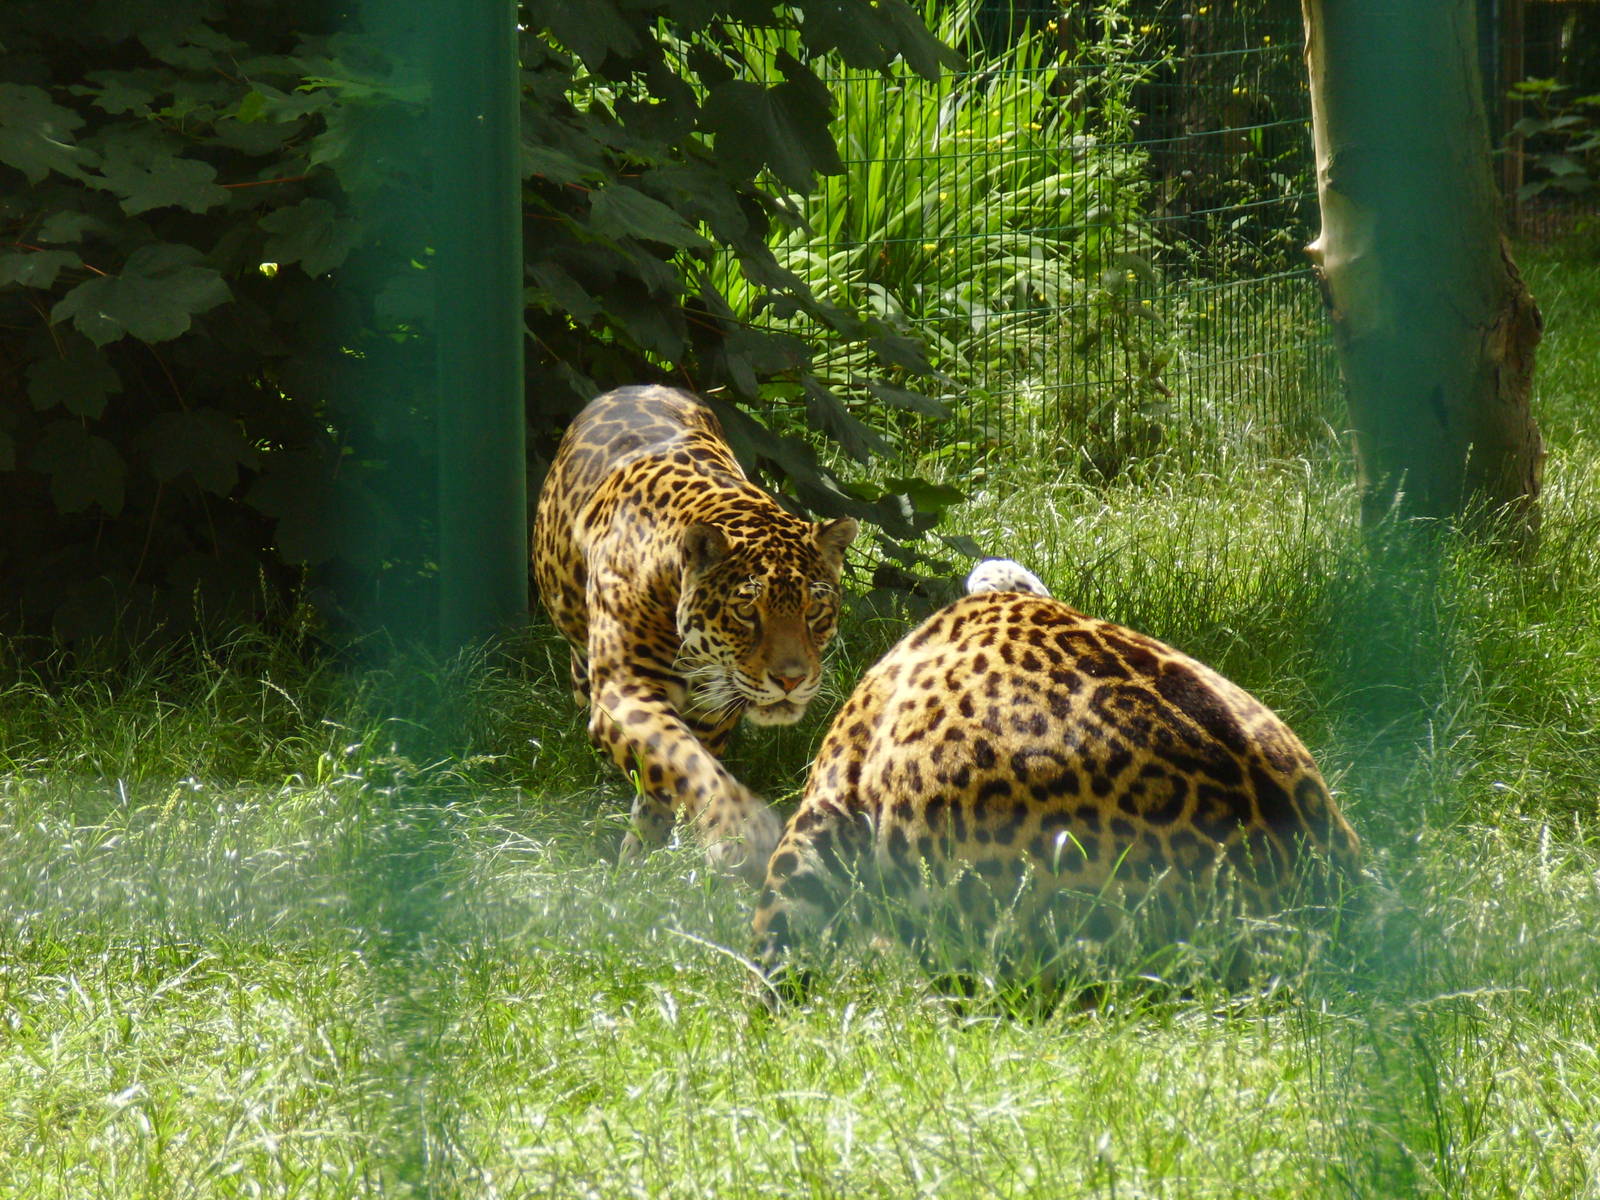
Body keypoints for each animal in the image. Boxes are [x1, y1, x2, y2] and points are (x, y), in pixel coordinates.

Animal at [533, 385, 858, 885]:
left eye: (814, 611)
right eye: (746, 612)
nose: (791, 680)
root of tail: (636, 386)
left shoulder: (714, 709)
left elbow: (674, 772)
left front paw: (649, 853)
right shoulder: (625, 691)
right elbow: (680, 759)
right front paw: (738, 828)